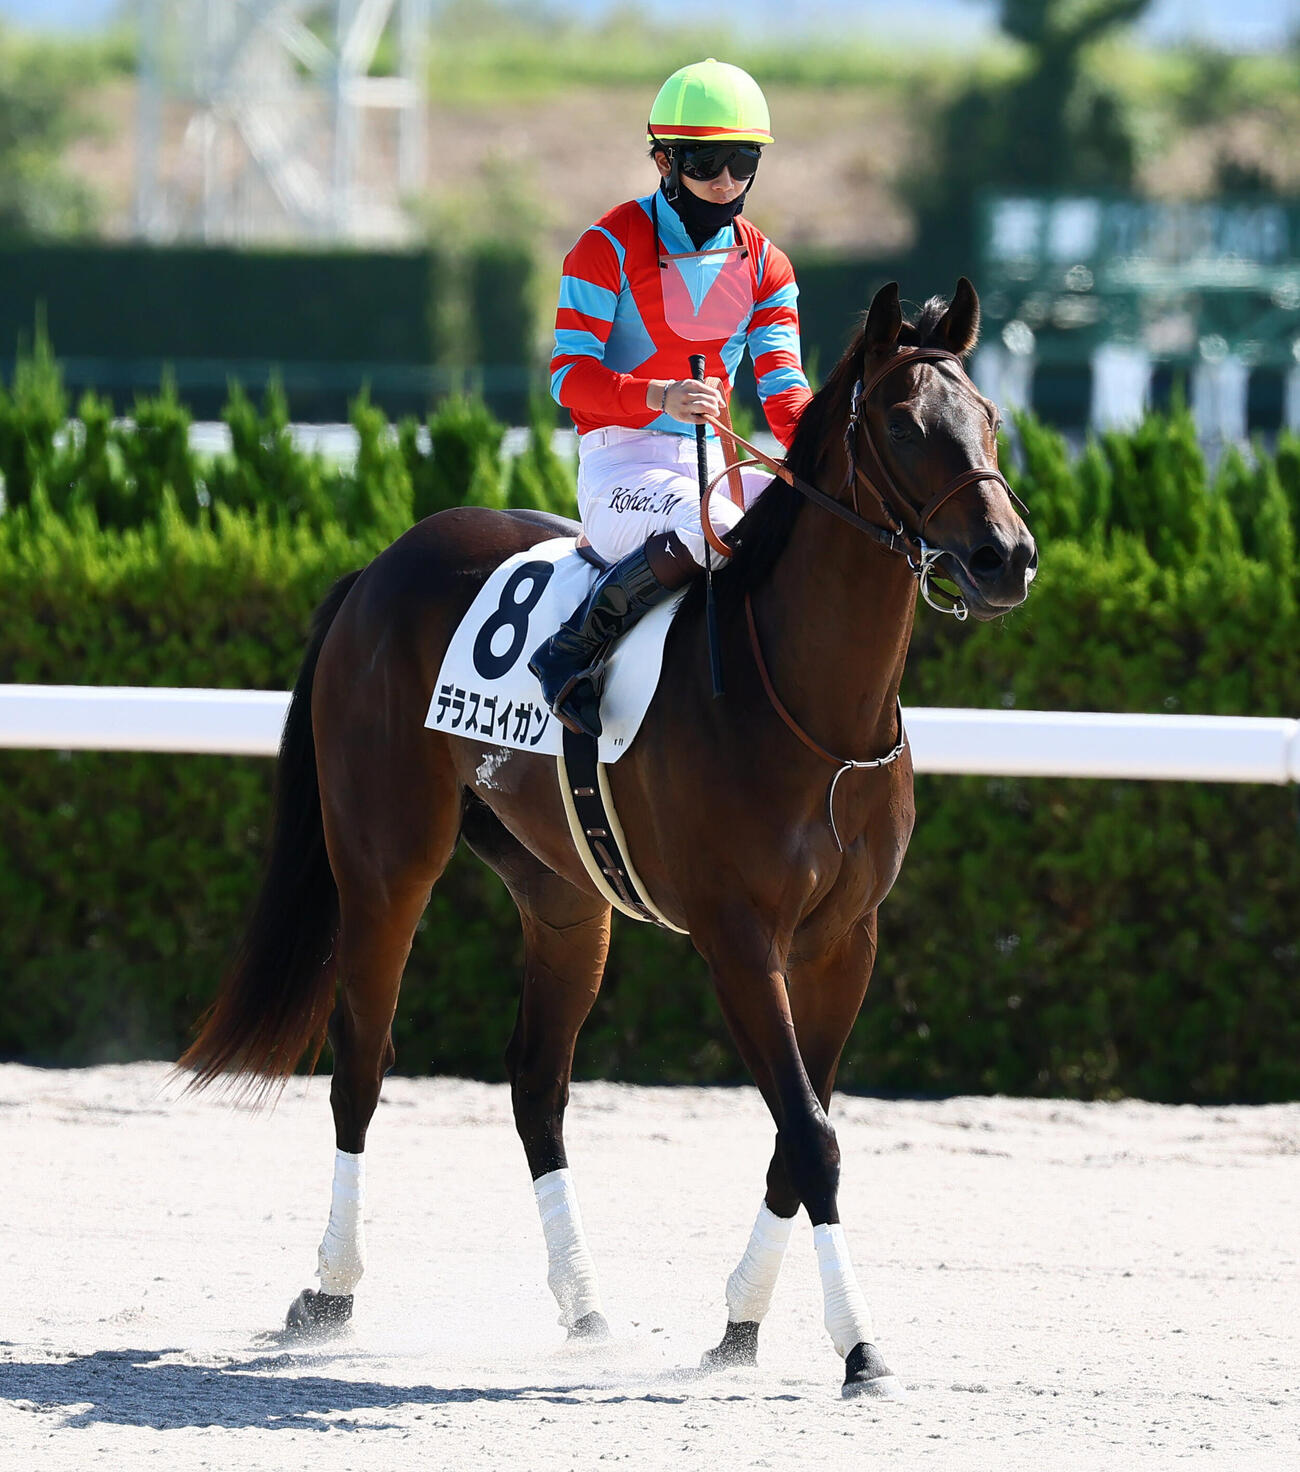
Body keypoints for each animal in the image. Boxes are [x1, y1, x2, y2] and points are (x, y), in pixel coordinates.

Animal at [179, 277, 1036, 1399]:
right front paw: (858, 1346)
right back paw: (327, 1293)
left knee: (537, 1084)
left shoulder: (845, 940)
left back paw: (584, 1307)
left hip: (562, 893)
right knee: (361, 1060)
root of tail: (378, 564)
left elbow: (795, 1132)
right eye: (903, 424)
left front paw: (738, 1325)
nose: (1006, 556)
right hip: (384, 862)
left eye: (987, 416)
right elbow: (808, 1136)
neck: (810, 707)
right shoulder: (737, 938)